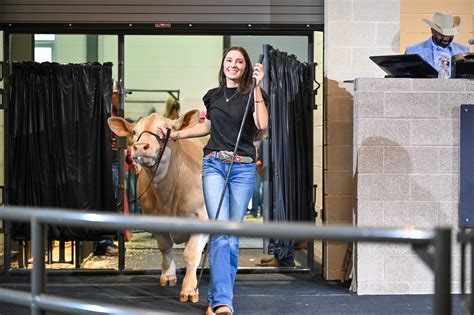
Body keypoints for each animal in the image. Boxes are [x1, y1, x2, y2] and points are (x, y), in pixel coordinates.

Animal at [110, 110, 209, 304]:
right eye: (134, 132)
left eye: (166, 130)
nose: (141, 147)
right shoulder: (153, 218)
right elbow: (165, 247)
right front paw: (168, 275)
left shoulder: (202, 217)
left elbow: (191, 253)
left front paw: (189, 289)